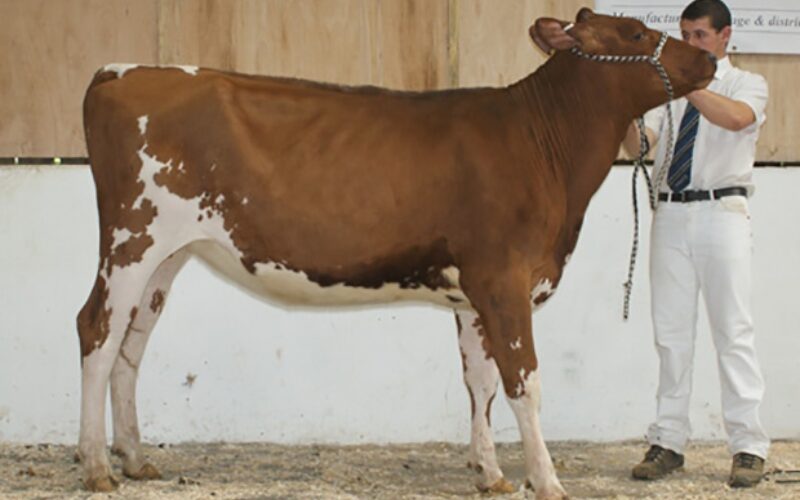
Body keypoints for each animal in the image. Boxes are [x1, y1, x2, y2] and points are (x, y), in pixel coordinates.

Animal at [77, 8, 715, 499]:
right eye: (634, 32)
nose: (710, 60)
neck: (543, 146)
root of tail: (120, 71)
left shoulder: (473, 295)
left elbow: (480, 382)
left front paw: (490, 473)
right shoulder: (505, 280)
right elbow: (524, 384)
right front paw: (547, 480)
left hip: (168, 254)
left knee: (132, 344)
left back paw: (135, 458)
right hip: (132, 238)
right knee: (98, 331)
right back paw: (97, 466)